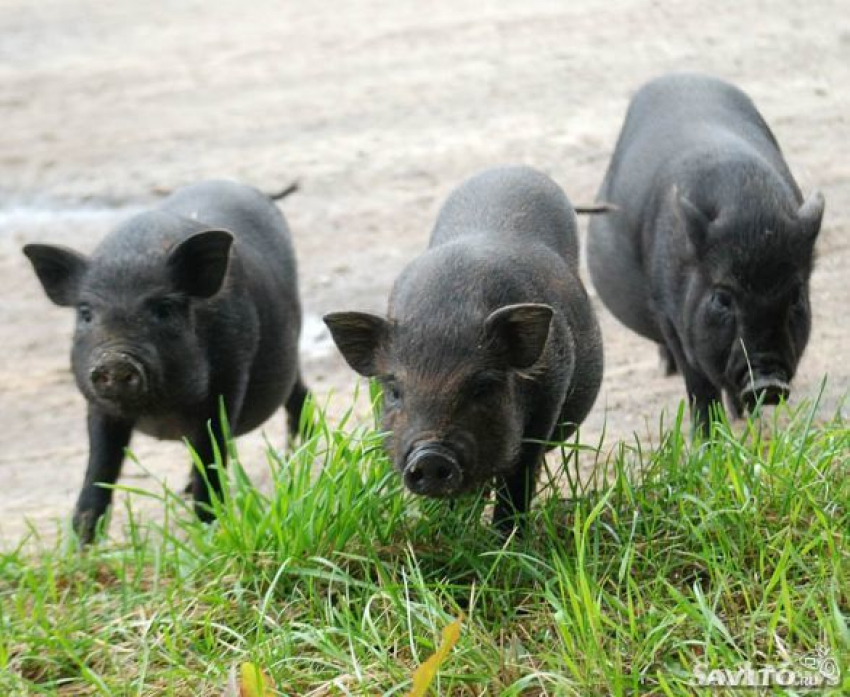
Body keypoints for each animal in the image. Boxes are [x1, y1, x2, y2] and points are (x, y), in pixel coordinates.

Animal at [22, 181, 308, 544]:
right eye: (86, 313)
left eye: (163, 309)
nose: (116, 361)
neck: (161, 411)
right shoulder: (99, 405)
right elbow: (100, 467)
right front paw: (81, 547)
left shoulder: (228, 382)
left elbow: (211, 456)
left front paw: (208, 533)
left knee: (300, 396)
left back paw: (299, 458)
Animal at [324, 166, 604, 532]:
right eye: (395, 391)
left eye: (483, 388)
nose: (430, 456)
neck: (445, 312)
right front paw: (451, 528)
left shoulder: (547, 406)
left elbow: (518, 480)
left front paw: (505, 537)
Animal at [584, 73, 820, 426]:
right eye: (721, 298)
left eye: (796, 298)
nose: (767, 382)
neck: (749, 212)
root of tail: (678, 76)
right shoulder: (669, 315)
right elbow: (699, 385)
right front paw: (709, 436)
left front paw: (745, 423)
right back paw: (666, 370)